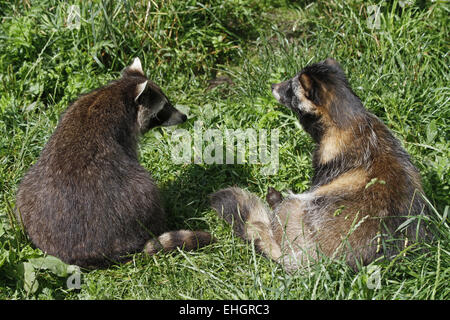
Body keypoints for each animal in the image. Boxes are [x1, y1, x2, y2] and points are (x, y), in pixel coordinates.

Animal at [15, 58, 213, 270]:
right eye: (163, 109)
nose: (184, 117)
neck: (117, 92)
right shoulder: (125, 135)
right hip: (133, 203)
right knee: (145, 191)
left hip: (28, 193)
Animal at [211, 58, 428, 272]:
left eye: (290, 88)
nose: (273, 86)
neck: (350, 119)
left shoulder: (327, 165)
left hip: (302, 217)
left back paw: (276, 203)